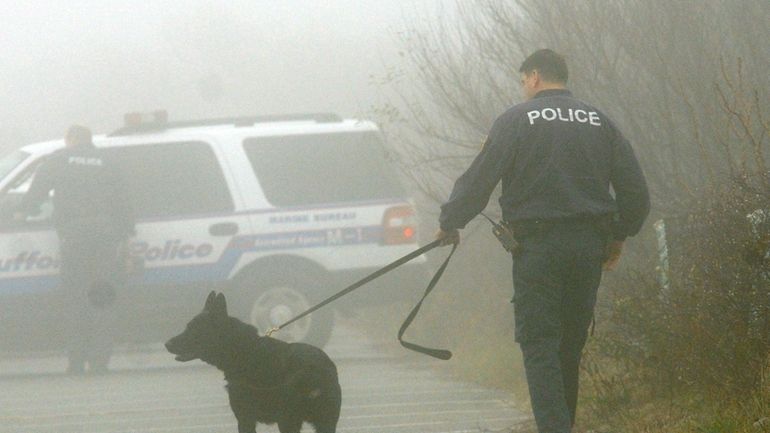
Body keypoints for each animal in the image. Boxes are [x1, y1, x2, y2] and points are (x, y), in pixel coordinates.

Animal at [164, 290, 340, 432]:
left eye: (193, 329)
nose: (166, 344)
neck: (243, 350)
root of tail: (316, 369)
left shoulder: (245, 419)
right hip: (324, 423)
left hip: (288, 421)